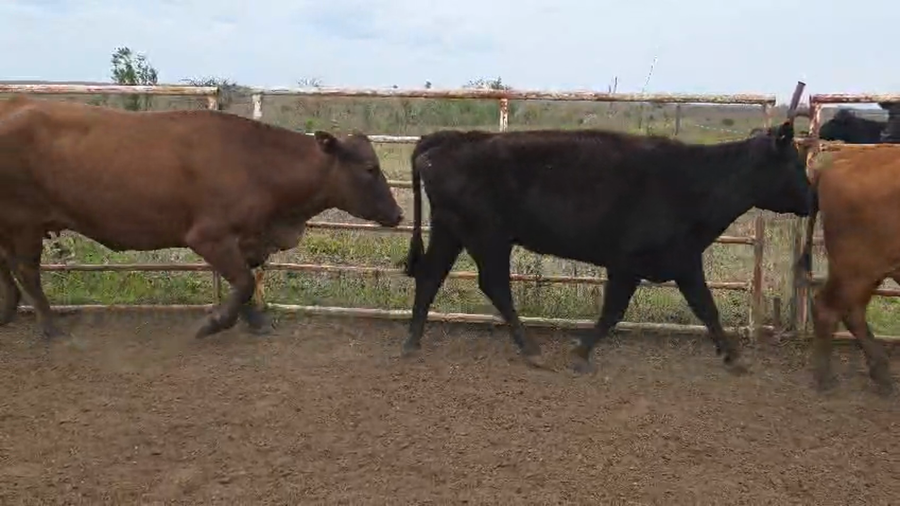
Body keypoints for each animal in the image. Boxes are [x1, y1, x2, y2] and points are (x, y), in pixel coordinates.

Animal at [0, 95, 403, 339]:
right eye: (370, 168)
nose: (399, 213)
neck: (258, 163)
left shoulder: (249, 239)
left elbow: (248, 281)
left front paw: (254, 319)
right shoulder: (210, 237)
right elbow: (243, 281)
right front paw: (215, 322)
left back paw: (8, 310)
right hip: (24, 223)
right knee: (26, 270)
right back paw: (51, 327)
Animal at [401, 121, 811, 373]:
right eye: (795, 163)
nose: (813, 200)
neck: (696, 180)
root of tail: (450, 138)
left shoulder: (684, 262)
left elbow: (706, 308)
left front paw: (732, 356)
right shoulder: (629, 263)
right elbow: (613, 312)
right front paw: (581, 354)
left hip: (450, 231)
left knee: (430, 275)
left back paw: (412, 342)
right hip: (488, 237)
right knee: (494, 285)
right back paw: (531, 350)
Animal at [796, 145, 900, 396]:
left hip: (866, 274)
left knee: (853, 313)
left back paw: (881, 373)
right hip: (856, 269)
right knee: (828, 308)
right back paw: (825, 379)